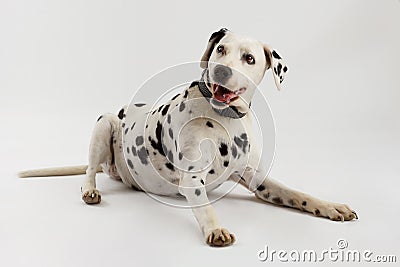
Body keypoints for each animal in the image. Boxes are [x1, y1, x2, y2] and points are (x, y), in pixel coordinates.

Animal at [19, 28, 356, 247]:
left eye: (249, 58)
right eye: (221, 49)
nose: (221, 71)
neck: (224, 119)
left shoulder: (257, 179)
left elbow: (296, 193)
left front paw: (330, 206)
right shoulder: (192, 180)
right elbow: (206, 208)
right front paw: (215, 229)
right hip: (105, 123)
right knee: (89, 171)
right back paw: (90, 190)